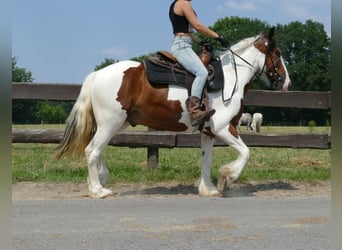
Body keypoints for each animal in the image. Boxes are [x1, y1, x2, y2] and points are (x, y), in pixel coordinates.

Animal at [56, 27, 292, 198]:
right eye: (278, 53)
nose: (287, 82)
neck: (230, 79)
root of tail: (96, 74)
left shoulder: (209, 132)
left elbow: (206, 160)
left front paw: (208, 189)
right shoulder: (225, 128)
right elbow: (245, 152)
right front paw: (227, 176)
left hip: (114, 124)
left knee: (98, 150)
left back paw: (100, 179)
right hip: (110, 123)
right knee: (92, 150)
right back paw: (98, 191)